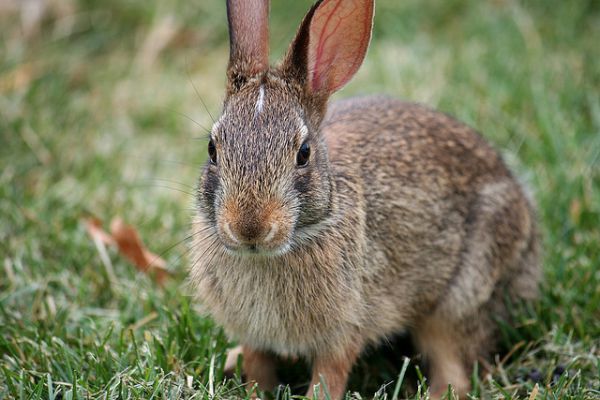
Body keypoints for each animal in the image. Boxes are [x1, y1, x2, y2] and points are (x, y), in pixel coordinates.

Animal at [190, 0, 540, 396]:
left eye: (303, 154)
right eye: (212, 149)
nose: (248, 228)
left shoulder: (345, 329)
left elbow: (329, 376)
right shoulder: (253, 334)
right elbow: (257, 365)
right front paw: (254, 390)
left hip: (463, 293)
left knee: (455, 364)